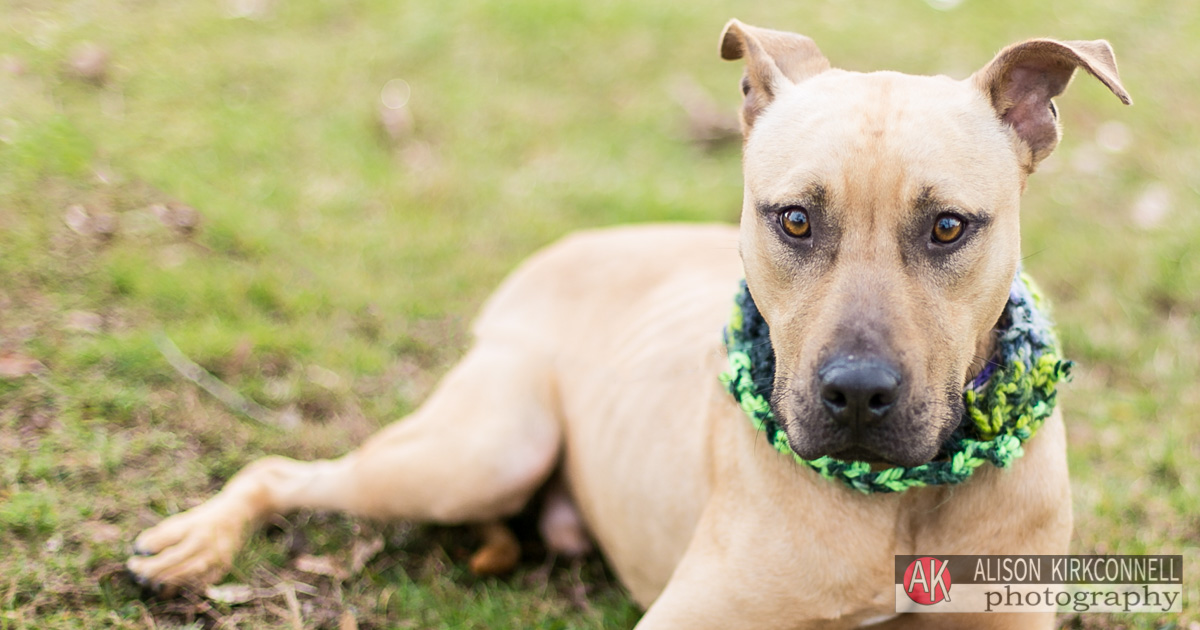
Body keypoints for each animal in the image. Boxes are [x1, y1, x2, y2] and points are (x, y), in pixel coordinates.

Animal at [126, 20, 1128, 628]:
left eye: (949, 227)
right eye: (794, 220)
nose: (855, 394)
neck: (904, 500)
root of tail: (564, 250)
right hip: (484, 447)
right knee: (281, 469)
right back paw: (194, 544)